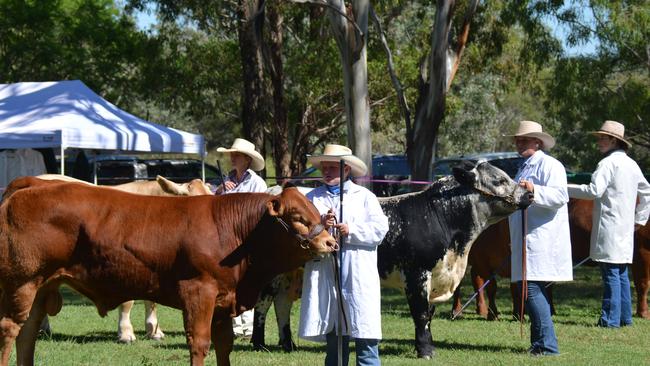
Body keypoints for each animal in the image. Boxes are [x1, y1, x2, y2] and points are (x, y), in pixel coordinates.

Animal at [0, 176, 334, 364]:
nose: (331, 242)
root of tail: (32, 184)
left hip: (41, 287)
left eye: (315, 211)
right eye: (296, 216)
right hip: (21, 283)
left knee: (27, 334)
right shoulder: (199, 293)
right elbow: (199, 344)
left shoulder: (223, 302)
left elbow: (223, 345)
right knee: (10, 330)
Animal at [378, 161, 528, 358]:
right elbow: (421, 315)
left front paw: (427, 348)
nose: (529, 194)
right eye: (499, 180)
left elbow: (430, 314)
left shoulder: (436, 278)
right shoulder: (416, 275)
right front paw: (425, 351)